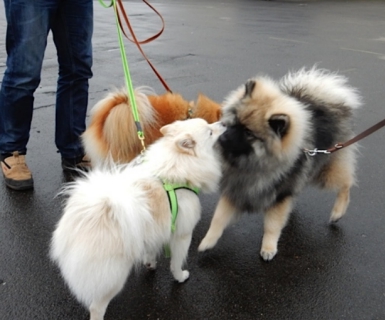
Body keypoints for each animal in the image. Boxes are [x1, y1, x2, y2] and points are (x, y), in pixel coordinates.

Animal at [51, 118, 225, 320]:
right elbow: (176, 262)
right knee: (96, 307)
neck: (177, 165)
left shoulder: (155, 229)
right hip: (115, 276)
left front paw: (150, 263)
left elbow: (151, 249)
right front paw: (180, 276)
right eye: (210, 132)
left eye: (210, 124)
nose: (223, 122)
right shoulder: (182, 235)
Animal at [198, 66, 360, 262]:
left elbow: (272, 225)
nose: (223, 138)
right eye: (234, 121)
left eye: (248, 133)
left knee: (346, 184)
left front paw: (268, 247)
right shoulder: (236, 189)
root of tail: (326, 99)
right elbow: (218, 219)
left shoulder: (278, 196)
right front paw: (207, 241)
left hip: (327, 172)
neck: (252, 163)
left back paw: (337, 213)